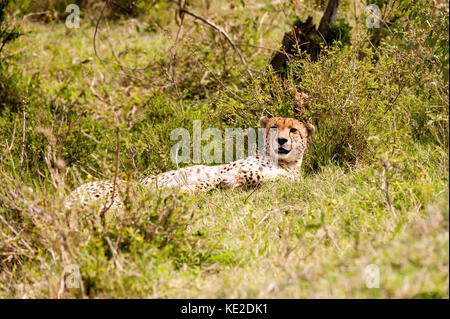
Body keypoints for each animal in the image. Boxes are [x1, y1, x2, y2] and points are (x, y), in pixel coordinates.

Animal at [64, 117, 316, 210]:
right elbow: (211, 179)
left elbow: (253, 177)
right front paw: (186, 190)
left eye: (293, 130)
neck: (281, 163)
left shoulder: (284, 180)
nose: (281, 140)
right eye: (274, 127)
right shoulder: (221, 171)